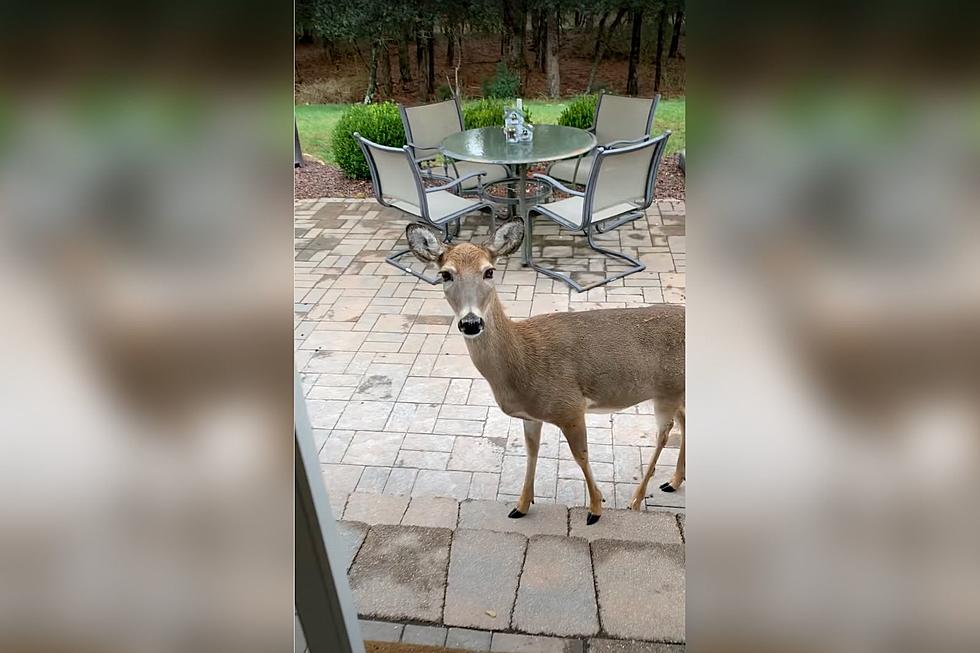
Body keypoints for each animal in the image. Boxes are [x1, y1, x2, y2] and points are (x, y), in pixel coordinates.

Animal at [404, 219, 680, 524]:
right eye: (445, 274)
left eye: (489, 271)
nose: (471, 322)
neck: (524, 361)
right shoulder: (531, 416)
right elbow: (531, 451)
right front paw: (521, 505)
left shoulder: (570, 406)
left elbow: (581, 455)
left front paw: (596, 508)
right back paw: (672, 482)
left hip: (669, 388)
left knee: (665, 432)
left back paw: (636, 499)